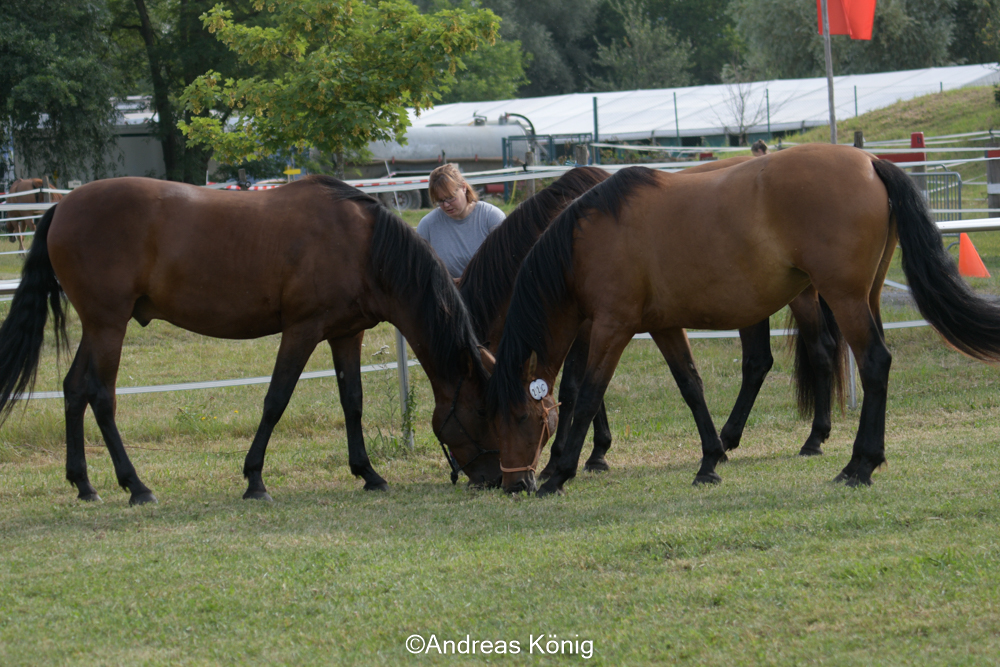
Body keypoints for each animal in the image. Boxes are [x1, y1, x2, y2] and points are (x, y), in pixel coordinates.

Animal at [0, 175, 500, 504]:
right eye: (480, 411)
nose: (496, 477)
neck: (361, 244)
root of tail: (62, 206)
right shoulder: (302, 330)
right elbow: (276, 400)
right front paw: (255, 480)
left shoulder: (346, 335)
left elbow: (352, 402)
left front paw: (368, 473)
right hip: (108, 325)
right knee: (101, 397)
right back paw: (136, 487)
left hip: (98, 325)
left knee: (74, 389)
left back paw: (84, 485)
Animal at [488, 145, 1000, 496]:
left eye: (520, 416)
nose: (513, 484)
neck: (586, 240)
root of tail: (870, 161)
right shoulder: (662, 325)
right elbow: (690, 386)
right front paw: (710, 460)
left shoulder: (611, 327)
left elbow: (587, 394)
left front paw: (560, 472)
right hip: (862, 297)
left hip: (842, 298)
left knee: (874, 363)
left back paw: (859, 465)